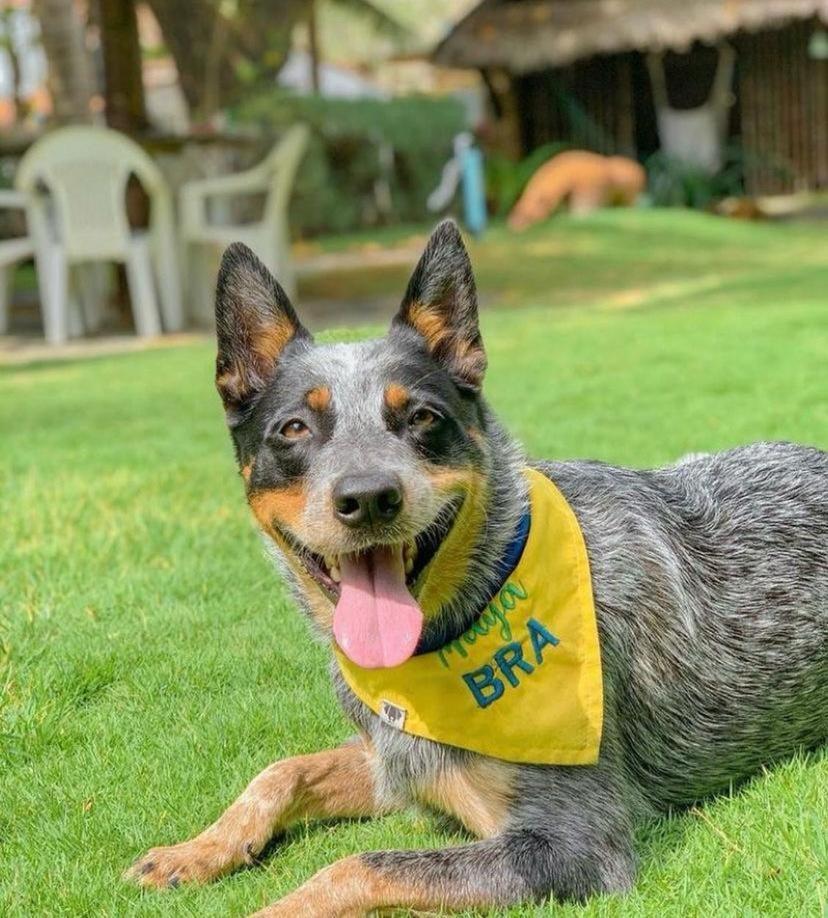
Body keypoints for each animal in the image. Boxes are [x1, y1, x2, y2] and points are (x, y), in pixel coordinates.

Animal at [124, 219, 828, 916]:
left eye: (422, 416)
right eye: (293, 427)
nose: (369, 497)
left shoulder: (573, 845)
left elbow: (358, 865)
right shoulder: (394, 757)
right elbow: (282, 770)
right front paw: (196, 850)